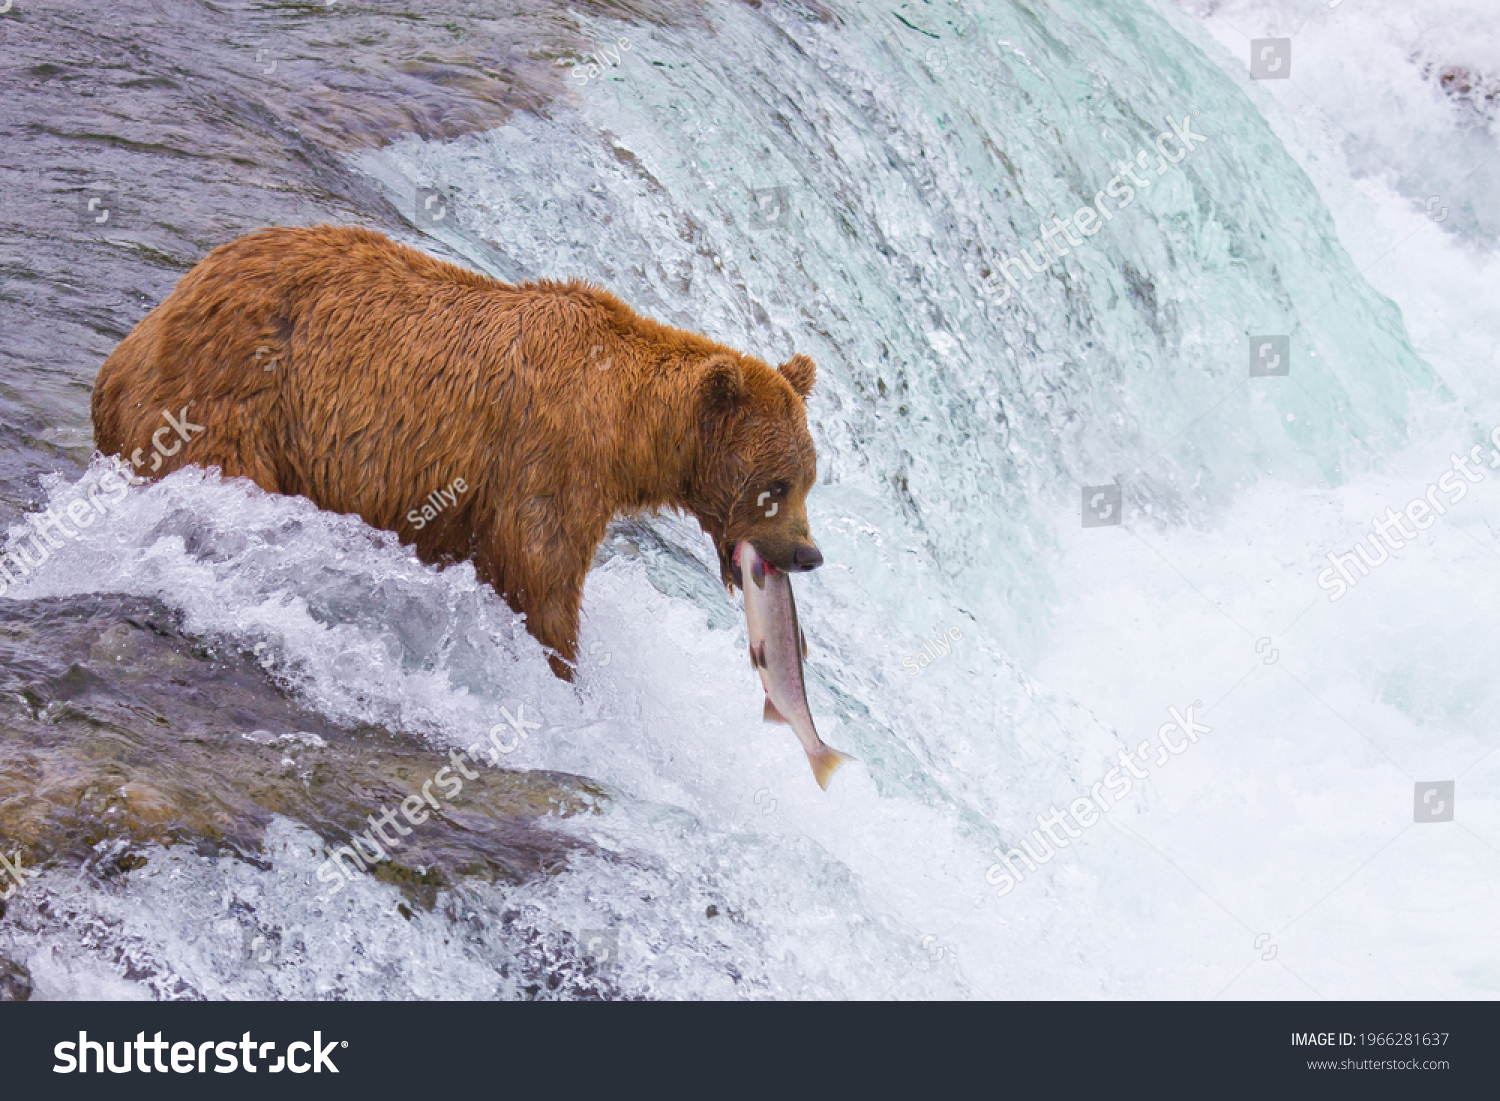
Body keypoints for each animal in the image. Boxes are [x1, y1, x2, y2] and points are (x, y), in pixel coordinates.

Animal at [89, 222, 828, 681]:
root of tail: (173, 298)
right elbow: (541, 577)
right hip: (230, 399)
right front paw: (563, 673)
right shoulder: (549, 457)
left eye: (808, 480)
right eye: (776, 484)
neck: (630, 427)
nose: (807, 554)